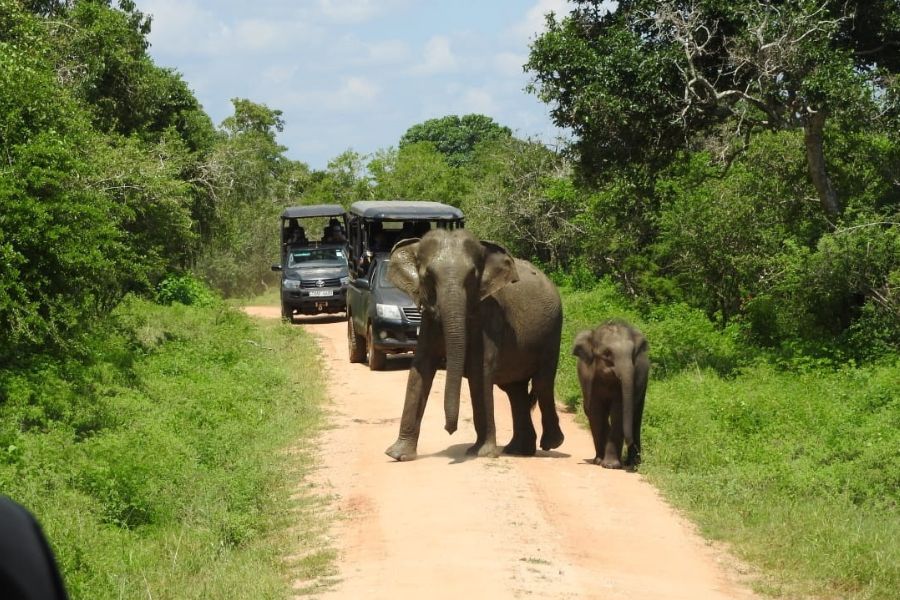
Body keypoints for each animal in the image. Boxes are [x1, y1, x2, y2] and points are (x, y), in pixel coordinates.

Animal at [384, 229, 564, 460]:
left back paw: (551, 444)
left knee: (542, 382)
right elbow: (421, 368)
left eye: (472, 277)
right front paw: (397, 455)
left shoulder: (489, 317)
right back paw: (518, 450)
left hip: (553, 330)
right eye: (428, 277)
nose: (449, 430)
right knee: (515, 389)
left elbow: (480, 372)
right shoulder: (429, 320)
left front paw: (481, 453)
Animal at [572, 318, 652, 468]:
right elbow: (596, 412)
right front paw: (600, 462)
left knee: (636, 416)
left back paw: (633, 463)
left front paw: (611, 465)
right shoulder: (589, 379)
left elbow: (618, 412)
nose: (628, 441)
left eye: (633, 354)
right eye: (607, 354)